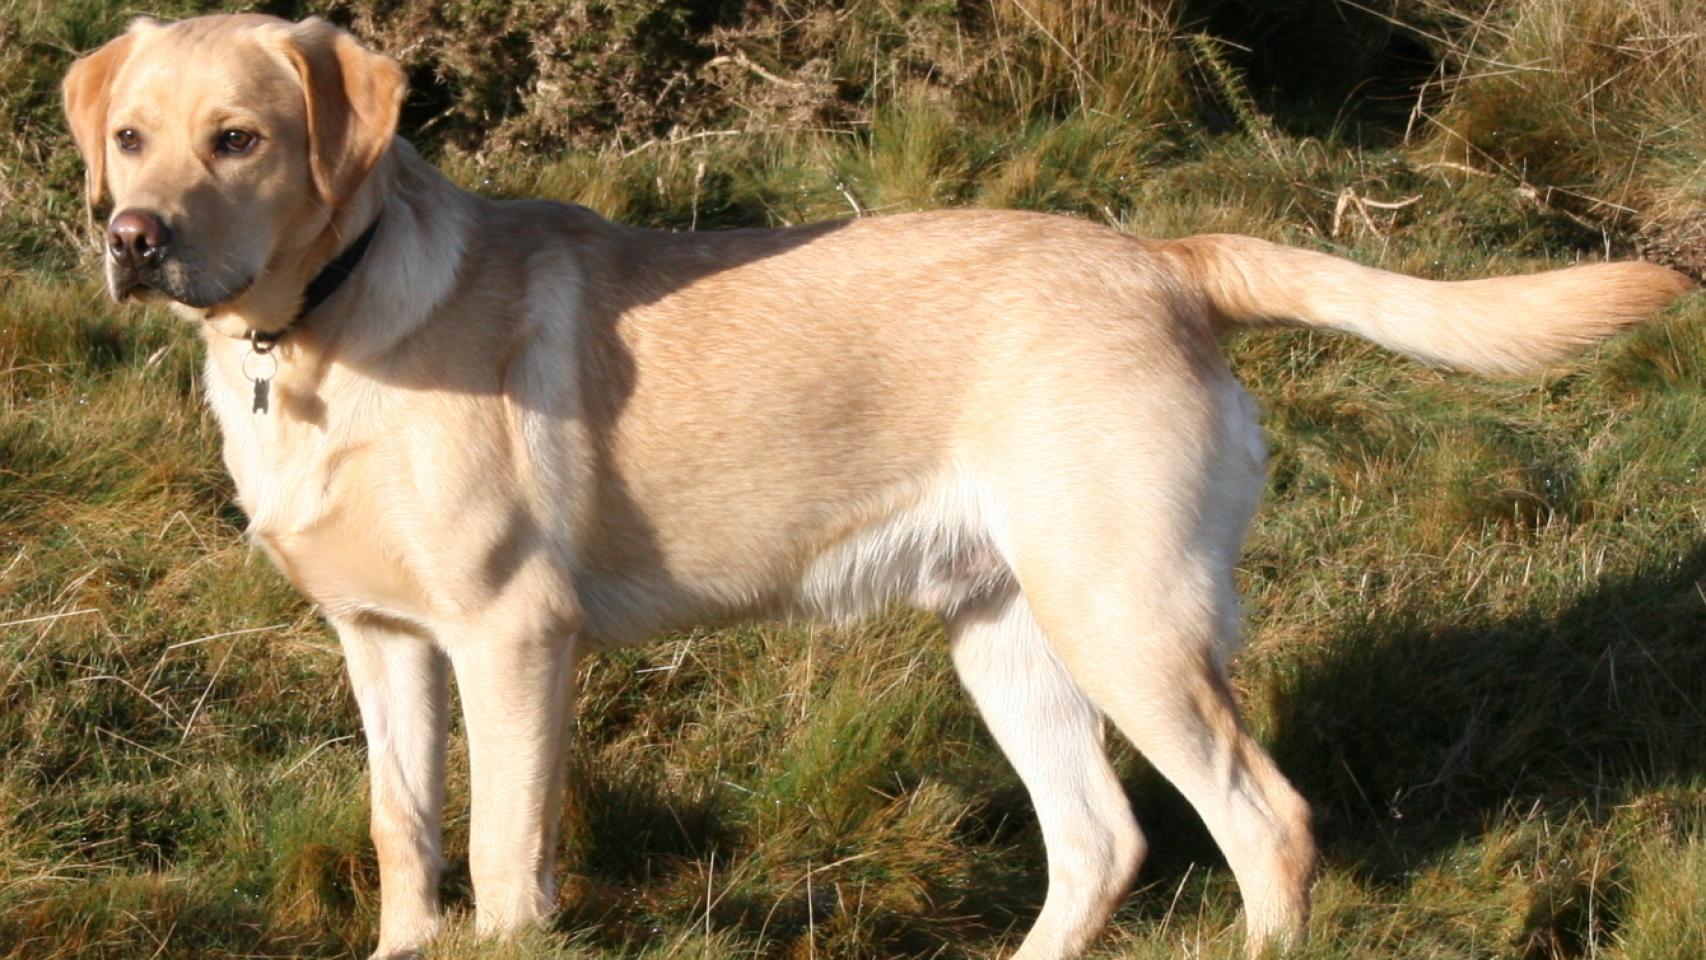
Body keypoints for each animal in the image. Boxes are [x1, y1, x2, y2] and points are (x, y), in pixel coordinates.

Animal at [63, 15, 1692, 960]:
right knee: (1100, 843)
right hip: (1008, 636)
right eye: (130, 137)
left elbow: (509, 865)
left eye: (240, 141)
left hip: (1126, 620)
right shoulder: (384, 645)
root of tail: (1165, 259)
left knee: (1262, 825)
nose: (131, 237)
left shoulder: (516, 640)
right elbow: (407, 842)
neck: (313, 334)